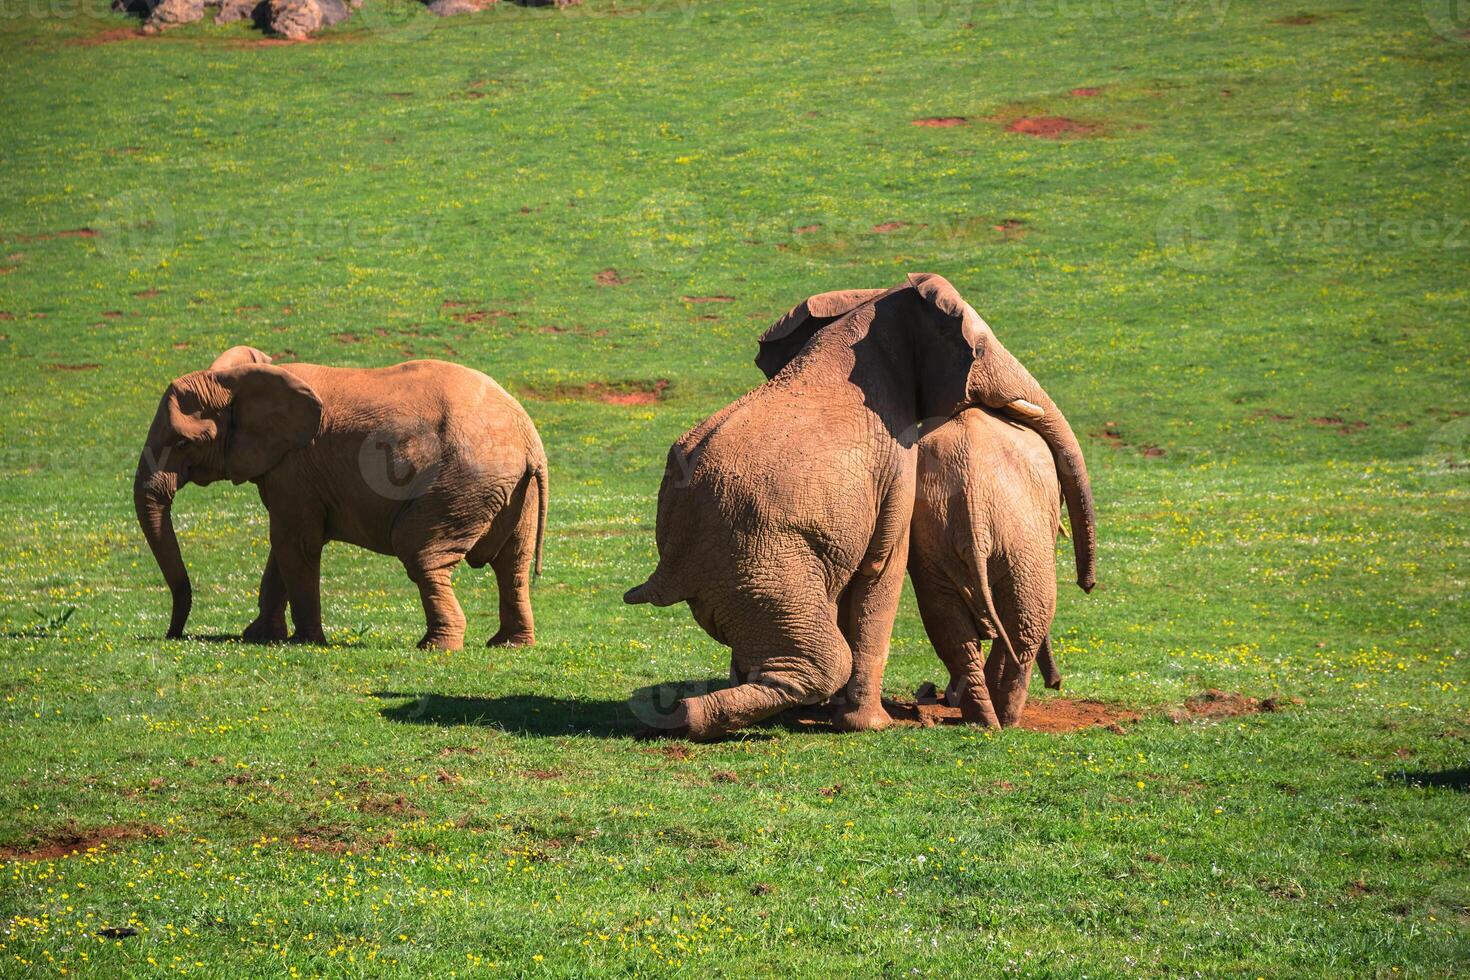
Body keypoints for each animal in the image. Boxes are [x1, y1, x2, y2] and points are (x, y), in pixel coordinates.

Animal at [135, 346, 549, 652]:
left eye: (183, 442)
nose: (174, 635)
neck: (238, 381)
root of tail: (529, 439)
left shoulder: (295, 466)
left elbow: (294, 543)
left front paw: (304, 643)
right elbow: (282, 547)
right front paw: (259, 637)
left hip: (463, 482)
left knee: (419, 552)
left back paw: (435, 647)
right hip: (511, 490)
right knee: (511, 565)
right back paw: (508, 645)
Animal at [620, 271, 1093, 740]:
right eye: (979, 349)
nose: (1088, 586)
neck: (867, 311)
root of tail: (669, 568)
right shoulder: (897, 460)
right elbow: (882, 563)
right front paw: (870, 726)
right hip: (763, 560)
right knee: (823, 661)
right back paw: (689, 715)